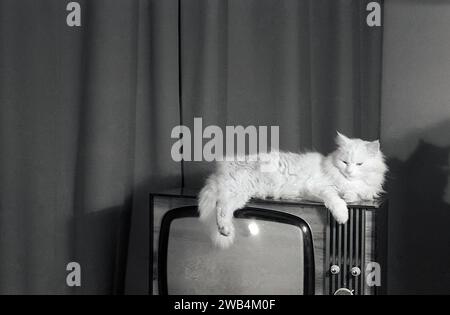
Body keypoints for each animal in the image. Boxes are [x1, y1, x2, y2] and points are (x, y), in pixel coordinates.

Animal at [199, 132, 388, 248]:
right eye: (345, 162)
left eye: (359, 164)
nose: (349, 171)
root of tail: (221, 167)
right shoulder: (318, 187)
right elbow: (335, 199)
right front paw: (342, 216)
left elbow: (353, 195)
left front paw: (349, 195)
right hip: (236, 190)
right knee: (221, 208)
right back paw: (225, 229)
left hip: (240, 195)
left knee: (224, 207)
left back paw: (226, 230)